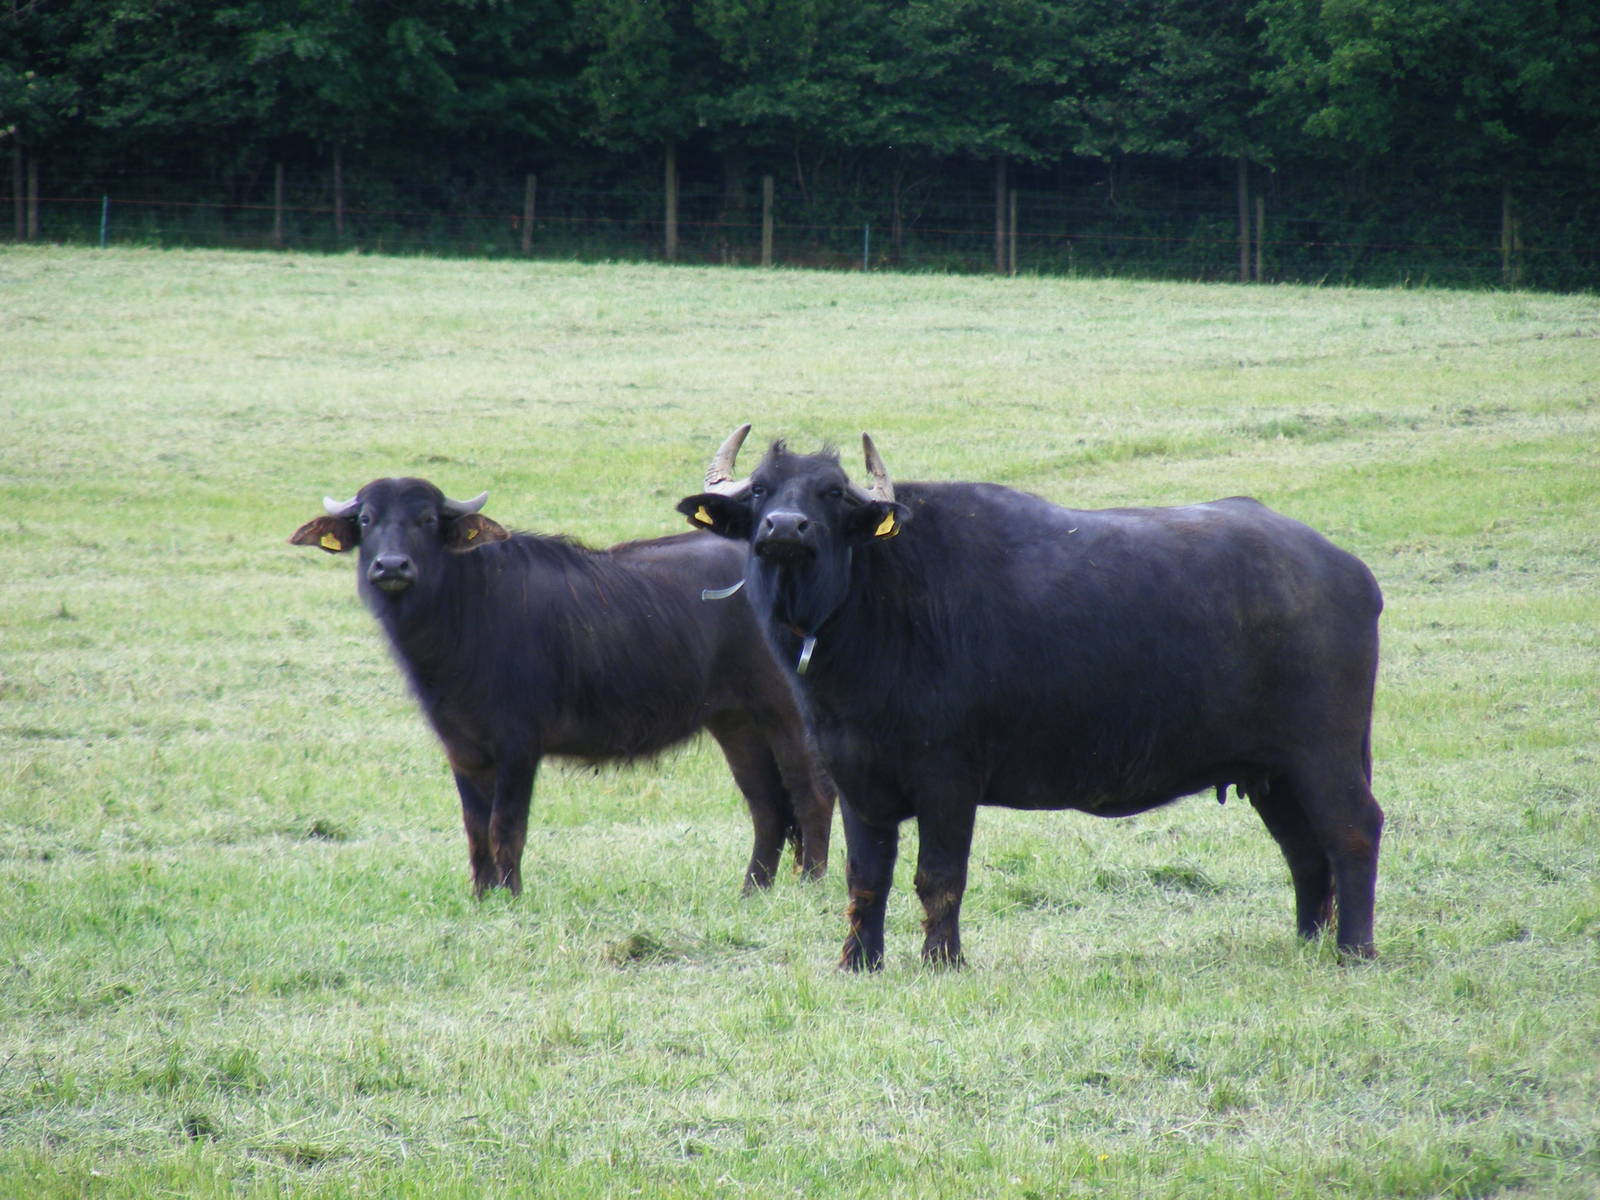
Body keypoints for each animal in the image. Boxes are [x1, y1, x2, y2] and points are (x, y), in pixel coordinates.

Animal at [291, 476, 833, 896]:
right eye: (366, 520)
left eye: (426, 519)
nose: (391, 567)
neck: (463, 612)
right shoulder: (462, 750)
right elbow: (474, 829)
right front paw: (482, 895)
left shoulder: (518, 746)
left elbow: (506, 826)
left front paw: (510, 894)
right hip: (735, 721)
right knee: (767, 806)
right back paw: (752, 890)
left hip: (785, 712)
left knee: (811, 795)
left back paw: (811, 884)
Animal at [678, 427, 1384, 969]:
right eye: (761, 490)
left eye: (828, 494)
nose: (784, 528)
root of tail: (1348, 572)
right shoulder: (857, 781)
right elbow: (866, 879)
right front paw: (858, 962)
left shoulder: (948, 781)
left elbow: (939, 877)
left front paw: (941, 961)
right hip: (1272, 773)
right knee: (1303, 850)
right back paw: (1307, 941)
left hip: (1325, 754)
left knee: (1353, 830)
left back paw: (1354, 950)